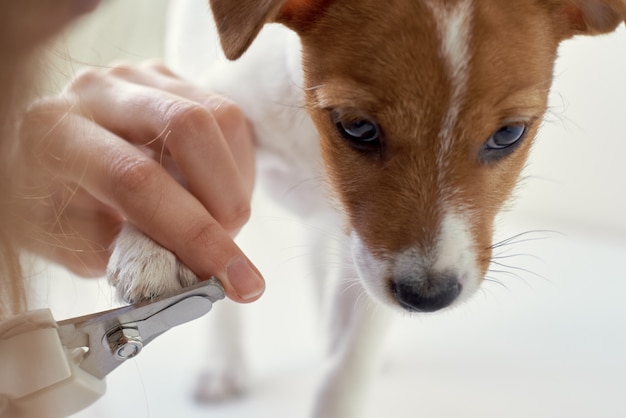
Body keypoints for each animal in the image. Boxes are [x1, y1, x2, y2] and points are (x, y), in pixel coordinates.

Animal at [107, 1, 624, 416]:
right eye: (356, 127)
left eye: (510, 134)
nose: (429, 298)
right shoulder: (223, 113)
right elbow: (186, 143)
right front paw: (148, 247)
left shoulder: (373, 260)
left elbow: (346, 368)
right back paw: (222, 365)